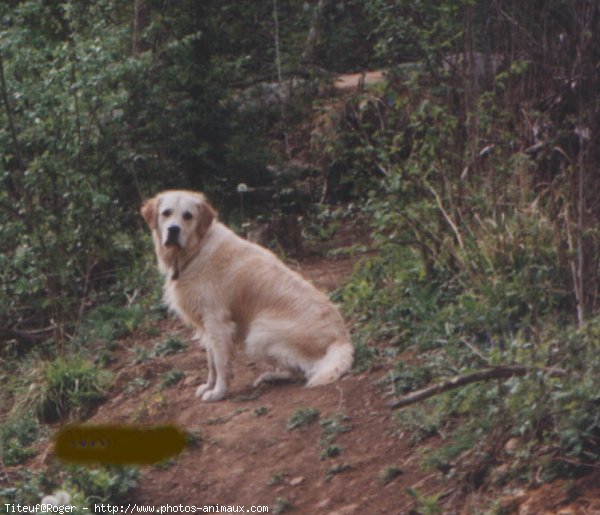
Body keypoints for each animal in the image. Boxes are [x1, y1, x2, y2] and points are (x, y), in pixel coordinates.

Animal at [141, 190, 354, 404]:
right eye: (166, 213)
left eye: (188, 216)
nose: (173, 230)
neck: (195, 250)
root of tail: (342, 339)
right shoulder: (206, 324)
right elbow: (210, 361)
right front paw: (209, 385)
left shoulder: (217, 322)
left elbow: (219, 362)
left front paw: (218, 392)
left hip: (258, 334)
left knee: (302, 371)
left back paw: (269, 376)